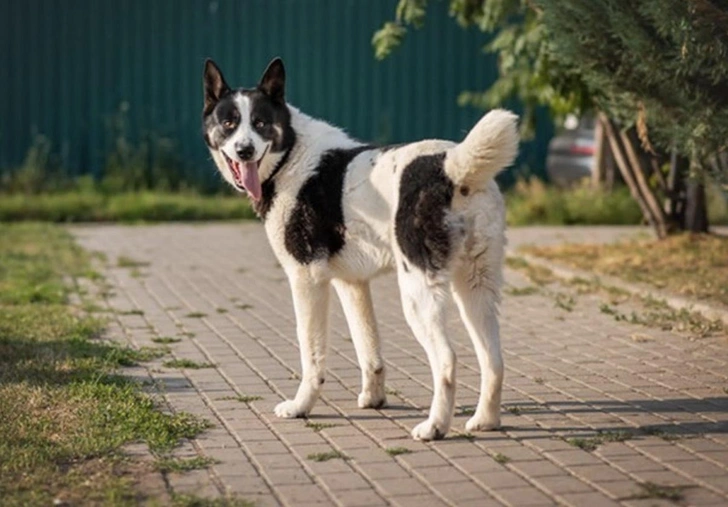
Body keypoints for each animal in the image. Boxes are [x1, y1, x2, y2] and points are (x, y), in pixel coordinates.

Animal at [200, 57, 516, 442]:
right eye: (229, 123)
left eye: (260, 123)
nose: (244, 150)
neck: (290, 155)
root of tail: (450, 166)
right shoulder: (351, 284)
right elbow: (368, 348)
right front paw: (374, 399)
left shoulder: (307, 279)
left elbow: (311, 353)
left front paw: (301, 406)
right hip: (475, 289)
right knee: (494, 360)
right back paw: (486, 420)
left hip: (418, 295)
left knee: (446, 360)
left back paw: (434, 427)